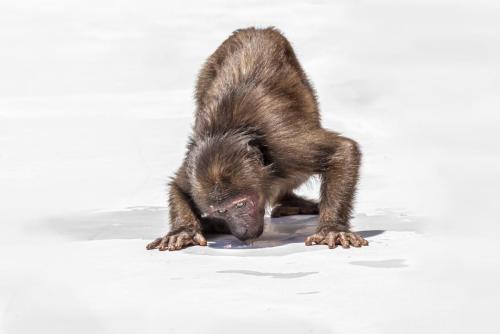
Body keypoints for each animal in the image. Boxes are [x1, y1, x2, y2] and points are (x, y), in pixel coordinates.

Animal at [145, 26, 368, 250]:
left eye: (241, 204)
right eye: (221, 211)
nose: (241, 232)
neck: (229, 132)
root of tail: (255, 29)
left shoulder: (286, 149)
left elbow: (343, 151)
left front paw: (333, 228)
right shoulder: (193, 169)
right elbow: (178, 187)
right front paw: (183, 231)